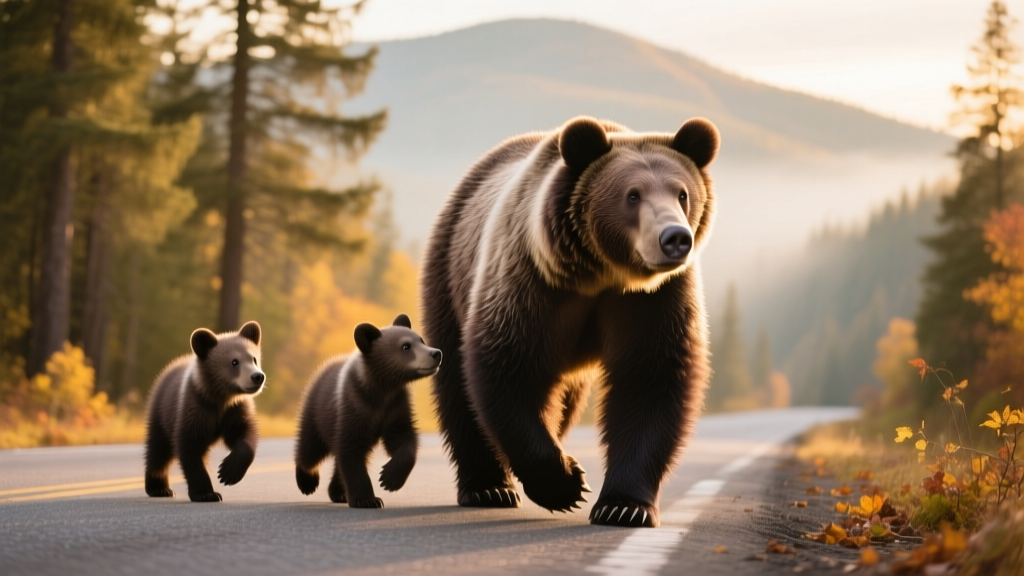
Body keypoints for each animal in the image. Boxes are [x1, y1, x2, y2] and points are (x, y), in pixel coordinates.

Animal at [144, 321, 266, 502]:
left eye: (254, 359)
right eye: (234, 362)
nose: (257, 376)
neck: (221, 397)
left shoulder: (236, 410)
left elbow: (244, 434)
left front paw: (228, 472)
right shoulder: (196, 408)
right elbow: (190, 447)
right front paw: (206, 493)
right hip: (161, 413)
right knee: (158, 450)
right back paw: (159, 488)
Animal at [293, 314, 442, 508]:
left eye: (421, 339)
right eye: (406, 346)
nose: (436, 353)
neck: (381, 389)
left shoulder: (396, 404)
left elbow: (402, 437)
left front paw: (389, 478)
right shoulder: (354, 405)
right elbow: (351, 449)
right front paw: (368, 499)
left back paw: (338, 493)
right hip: (316, 411)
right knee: (310, 447)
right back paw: (307, 481)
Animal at [420, 116, 719, 527]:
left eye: (682, 194)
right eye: (632, 195)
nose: (674, 238)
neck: (603, 274)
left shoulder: (655, 299)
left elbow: (650, 379)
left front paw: (624, 506)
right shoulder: (532, 281)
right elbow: (509, 368)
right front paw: (565, 484)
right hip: (449, 271)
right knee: (456, 385)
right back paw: (488, 487)